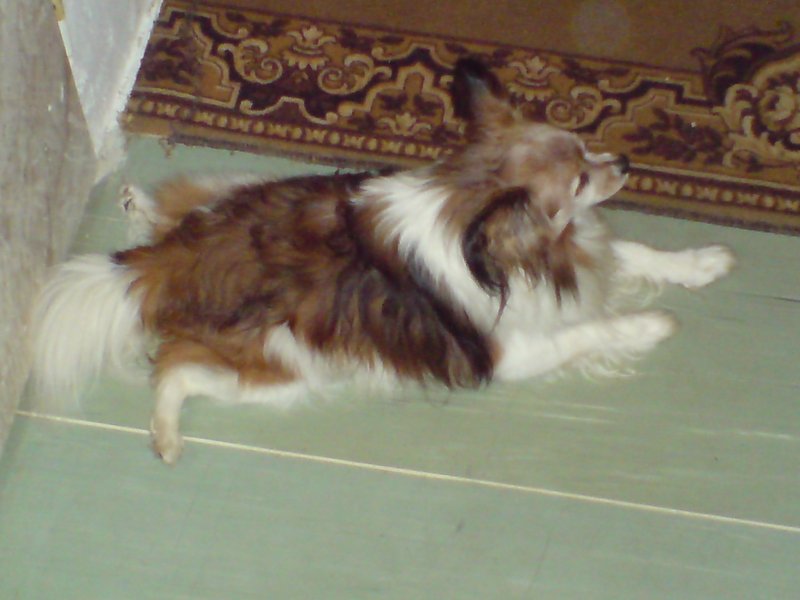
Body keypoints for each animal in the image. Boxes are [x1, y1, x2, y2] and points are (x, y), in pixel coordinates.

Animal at [30, 58, 734, 464]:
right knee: (173, 372)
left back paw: (140, 203)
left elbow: (635, 253)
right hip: (283, 370)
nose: (627, 163)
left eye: (589, 148)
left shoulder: (589, 253)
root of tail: (167, 266)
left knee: (174, 209)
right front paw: (652, 325)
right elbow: (591, 329)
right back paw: (167, 434)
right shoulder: (515, 352)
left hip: (245, 190)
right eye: (583, 179)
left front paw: (703, 263)